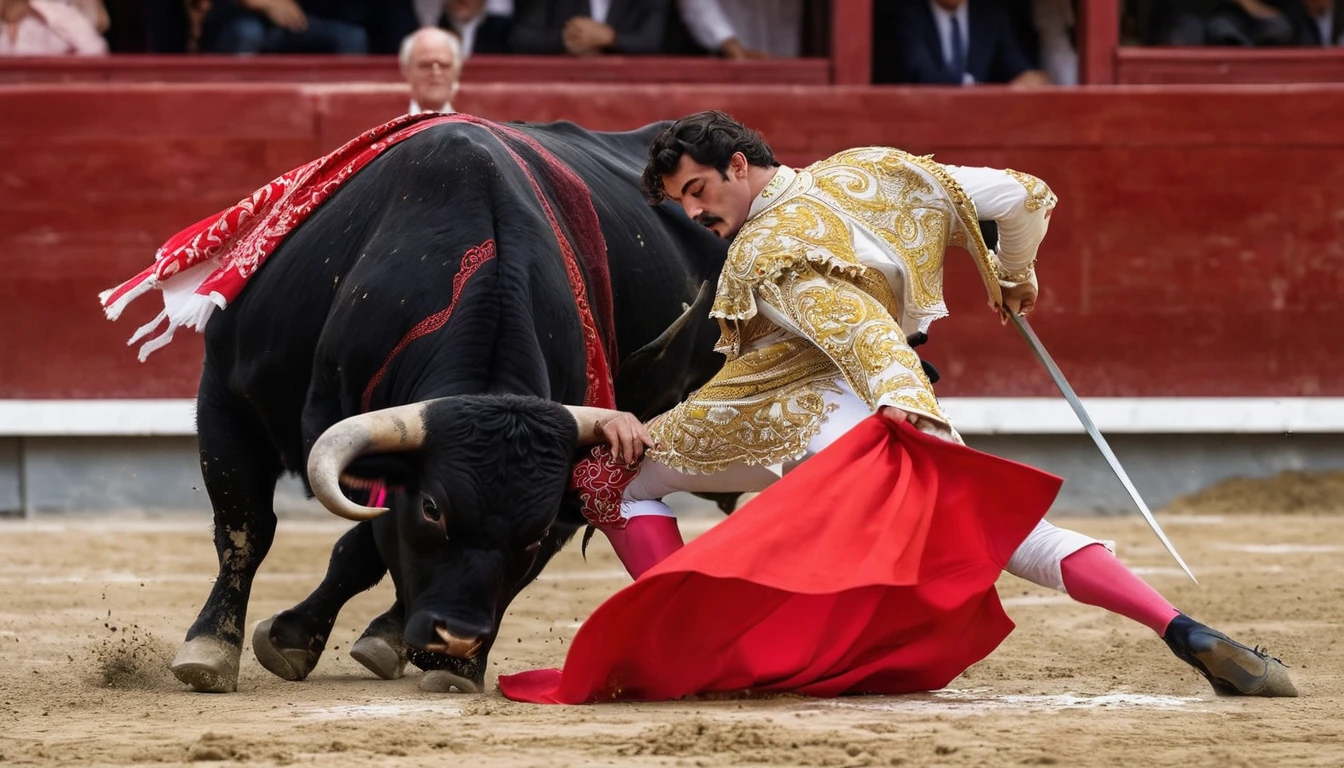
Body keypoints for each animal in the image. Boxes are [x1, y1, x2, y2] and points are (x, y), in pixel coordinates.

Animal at [172, 117, 736, 694]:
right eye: (432, 508)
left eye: (534, 531)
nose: (460, 638)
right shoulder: (226, 397)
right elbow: (247, 527)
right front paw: (212, 648)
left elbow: (363, 545)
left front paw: (306, 636)